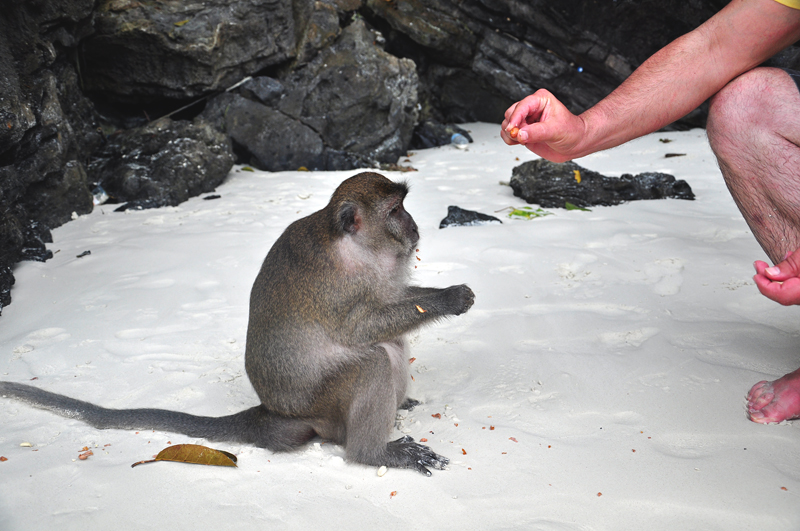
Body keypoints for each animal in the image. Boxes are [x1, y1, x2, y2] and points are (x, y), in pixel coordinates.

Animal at [0, 172, 476, 476]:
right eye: (395, 210)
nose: (413, 225)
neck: (356, 245)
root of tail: (273, 412)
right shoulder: (340, 285)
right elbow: (360, 330)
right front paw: (450, 297)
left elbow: (392, 306)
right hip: (323, 408)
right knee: (374, 358)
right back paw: (372, 453)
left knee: (393, 346)